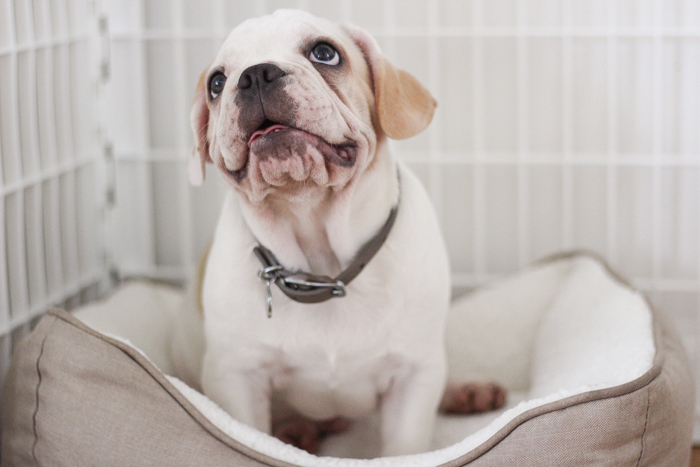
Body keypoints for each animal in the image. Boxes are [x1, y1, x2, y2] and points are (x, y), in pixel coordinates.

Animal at [175, 9, 504, 458]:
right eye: (216, 83)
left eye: (325, 53)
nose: (256, 74)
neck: (322, 262)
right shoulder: (236, 377)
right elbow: (248, 434)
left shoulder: (414, 373)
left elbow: (405, 445)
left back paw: (466, 392)